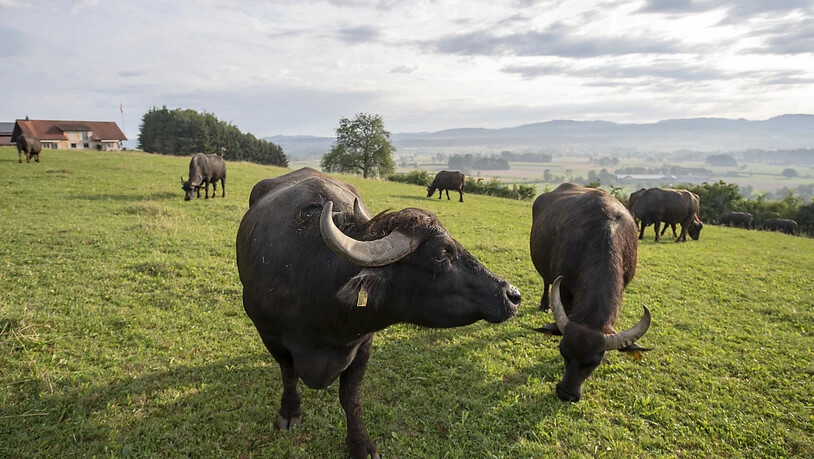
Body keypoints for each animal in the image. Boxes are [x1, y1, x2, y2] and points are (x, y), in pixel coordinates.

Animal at [236, 167, 521, 458]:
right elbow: (289, 374)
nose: (512, 295)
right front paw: (290, 412)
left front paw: (360, 443)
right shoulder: (270, 336)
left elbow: (351, 397)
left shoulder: (363, 343)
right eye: (441, 254)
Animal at [530, 183, 651, 403]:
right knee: (546, 282)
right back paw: (544, 304)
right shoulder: (565, 290)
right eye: (563, 352)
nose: (566, 393)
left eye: (595, 361)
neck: (602, 237)